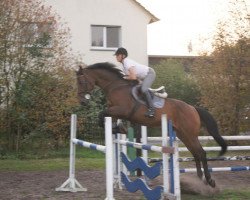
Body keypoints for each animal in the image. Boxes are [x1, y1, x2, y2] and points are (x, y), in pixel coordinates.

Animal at [77, 62, 228, 188]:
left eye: (82, 81)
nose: (82, 102)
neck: (115, 86)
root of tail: (193, 108)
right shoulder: (114, 112)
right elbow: (104, 117)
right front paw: (118, 128)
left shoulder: (122, 110)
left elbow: (101, 115)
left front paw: (119, 128)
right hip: (183, 135)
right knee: (196, 153)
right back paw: (200, 179)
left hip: (190, 134)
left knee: (201, 153)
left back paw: (209, 180)